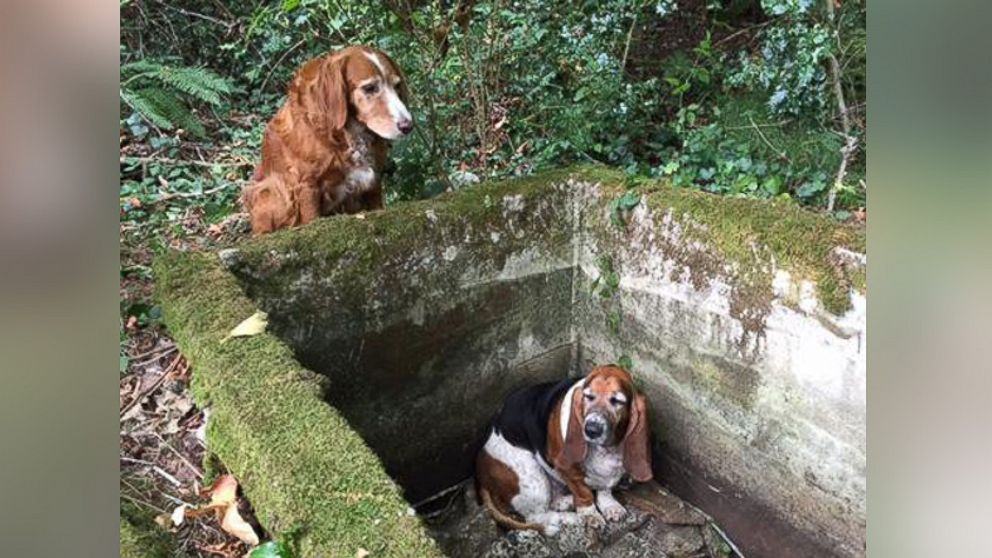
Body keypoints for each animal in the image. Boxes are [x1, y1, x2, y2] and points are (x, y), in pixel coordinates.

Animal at [246, 45, 412, 234]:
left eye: (397, 86)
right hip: (268, 192)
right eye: (369, 88)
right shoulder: (306, 186)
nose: (408, 126)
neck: (345, 135)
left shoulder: (373, 180)